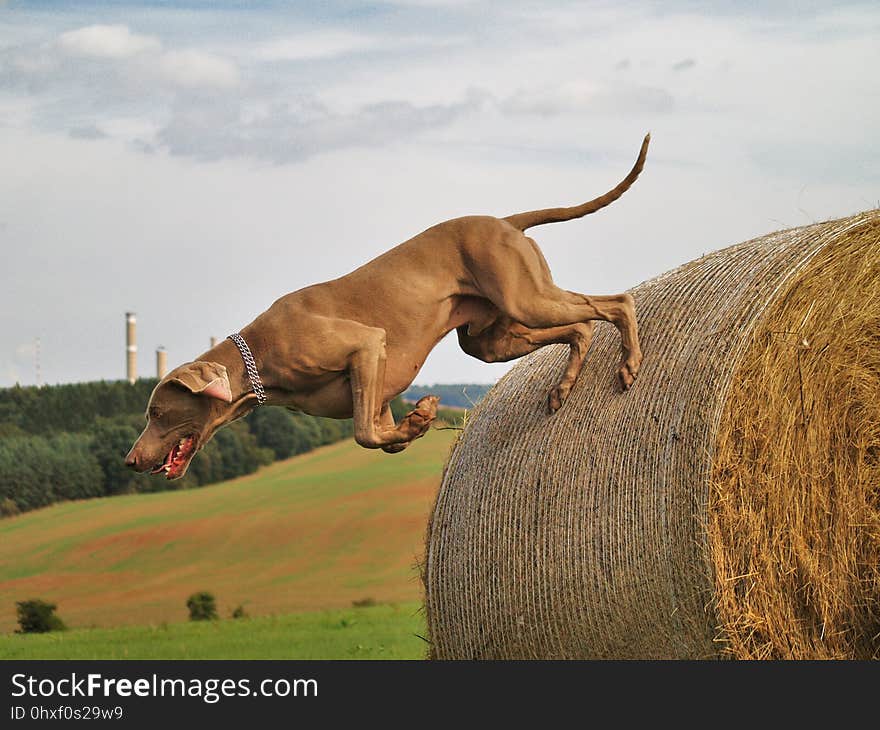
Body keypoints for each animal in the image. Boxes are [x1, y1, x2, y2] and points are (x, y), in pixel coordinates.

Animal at [125, 136, 648, 478]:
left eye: (157, 413)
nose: (130, 460)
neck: (260, 354)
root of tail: (505, 221)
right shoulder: (376, 393)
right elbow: (380, 437)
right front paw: (417, 424)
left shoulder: (366, 347)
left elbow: (363, 434)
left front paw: (421, 418)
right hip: (490, 339)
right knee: (581, 328)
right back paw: (562, 388)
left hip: (526, 300)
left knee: (616, 302)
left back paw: (629, 365)